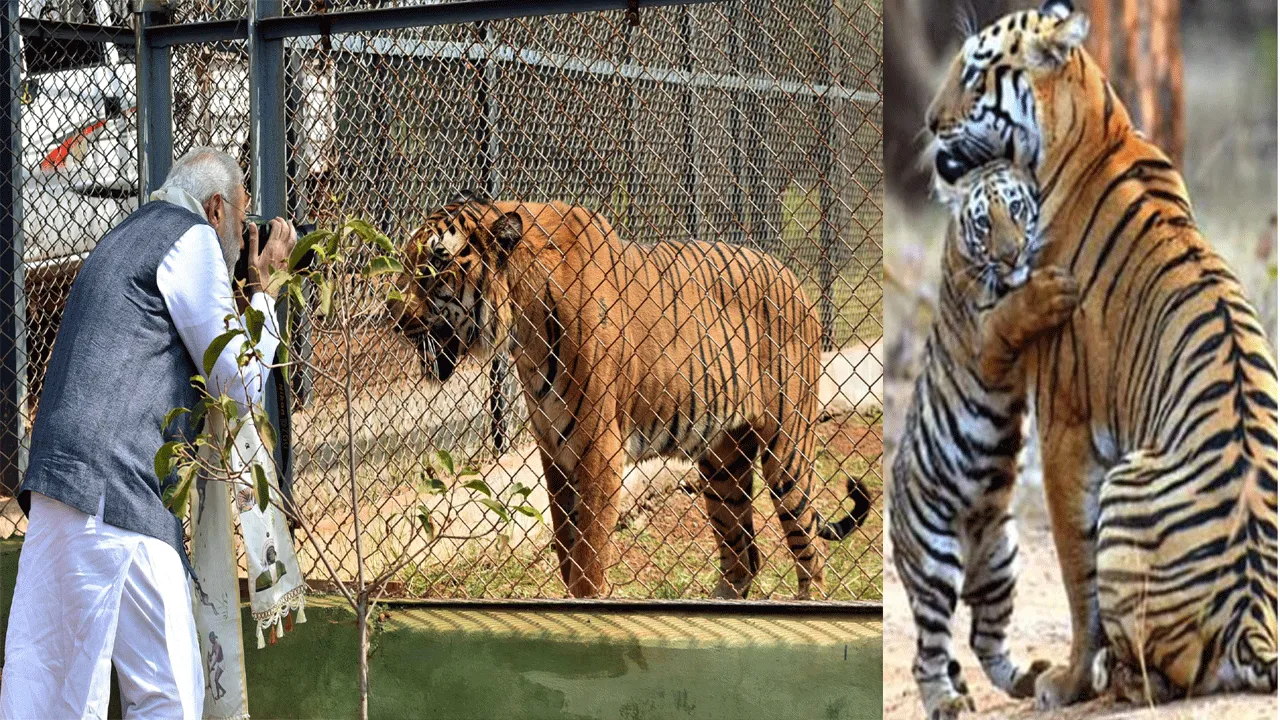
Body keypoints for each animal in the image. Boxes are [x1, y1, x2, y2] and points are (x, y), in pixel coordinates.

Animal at [385, 192, 872, 599]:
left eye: (430, 269)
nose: (390, 315)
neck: (521, 326)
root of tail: (795, 279)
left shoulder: (600, 450)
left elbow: (588, 561)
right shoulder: (553, 450)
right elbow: (566, 547)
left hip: (786, 449)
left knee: (810, 555)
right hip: (722, 466)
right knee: (744, 556)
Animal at [891, 158, 1076, 719]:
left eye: (1016, 208)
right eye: (983, 222)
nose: (1011, 254)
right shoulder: (988, 344)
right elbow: (1014, 311)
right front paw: (1048, 291)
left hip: (1002, 562)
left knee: (983, 641)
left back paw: (1028, 678)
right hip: (935, 564)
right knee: (928, 655)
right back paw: (946, 702)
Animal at [924, 0, 1278, 709]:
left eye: (974, 72)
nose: (929, 122)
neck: (1096, 127)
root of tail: (1254, 624)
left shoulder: (1065, 422)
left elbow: (1074, 569)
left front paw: (1065, 681)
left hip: (1126, 483)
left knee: (1159, 674)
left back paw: (1113, 677)